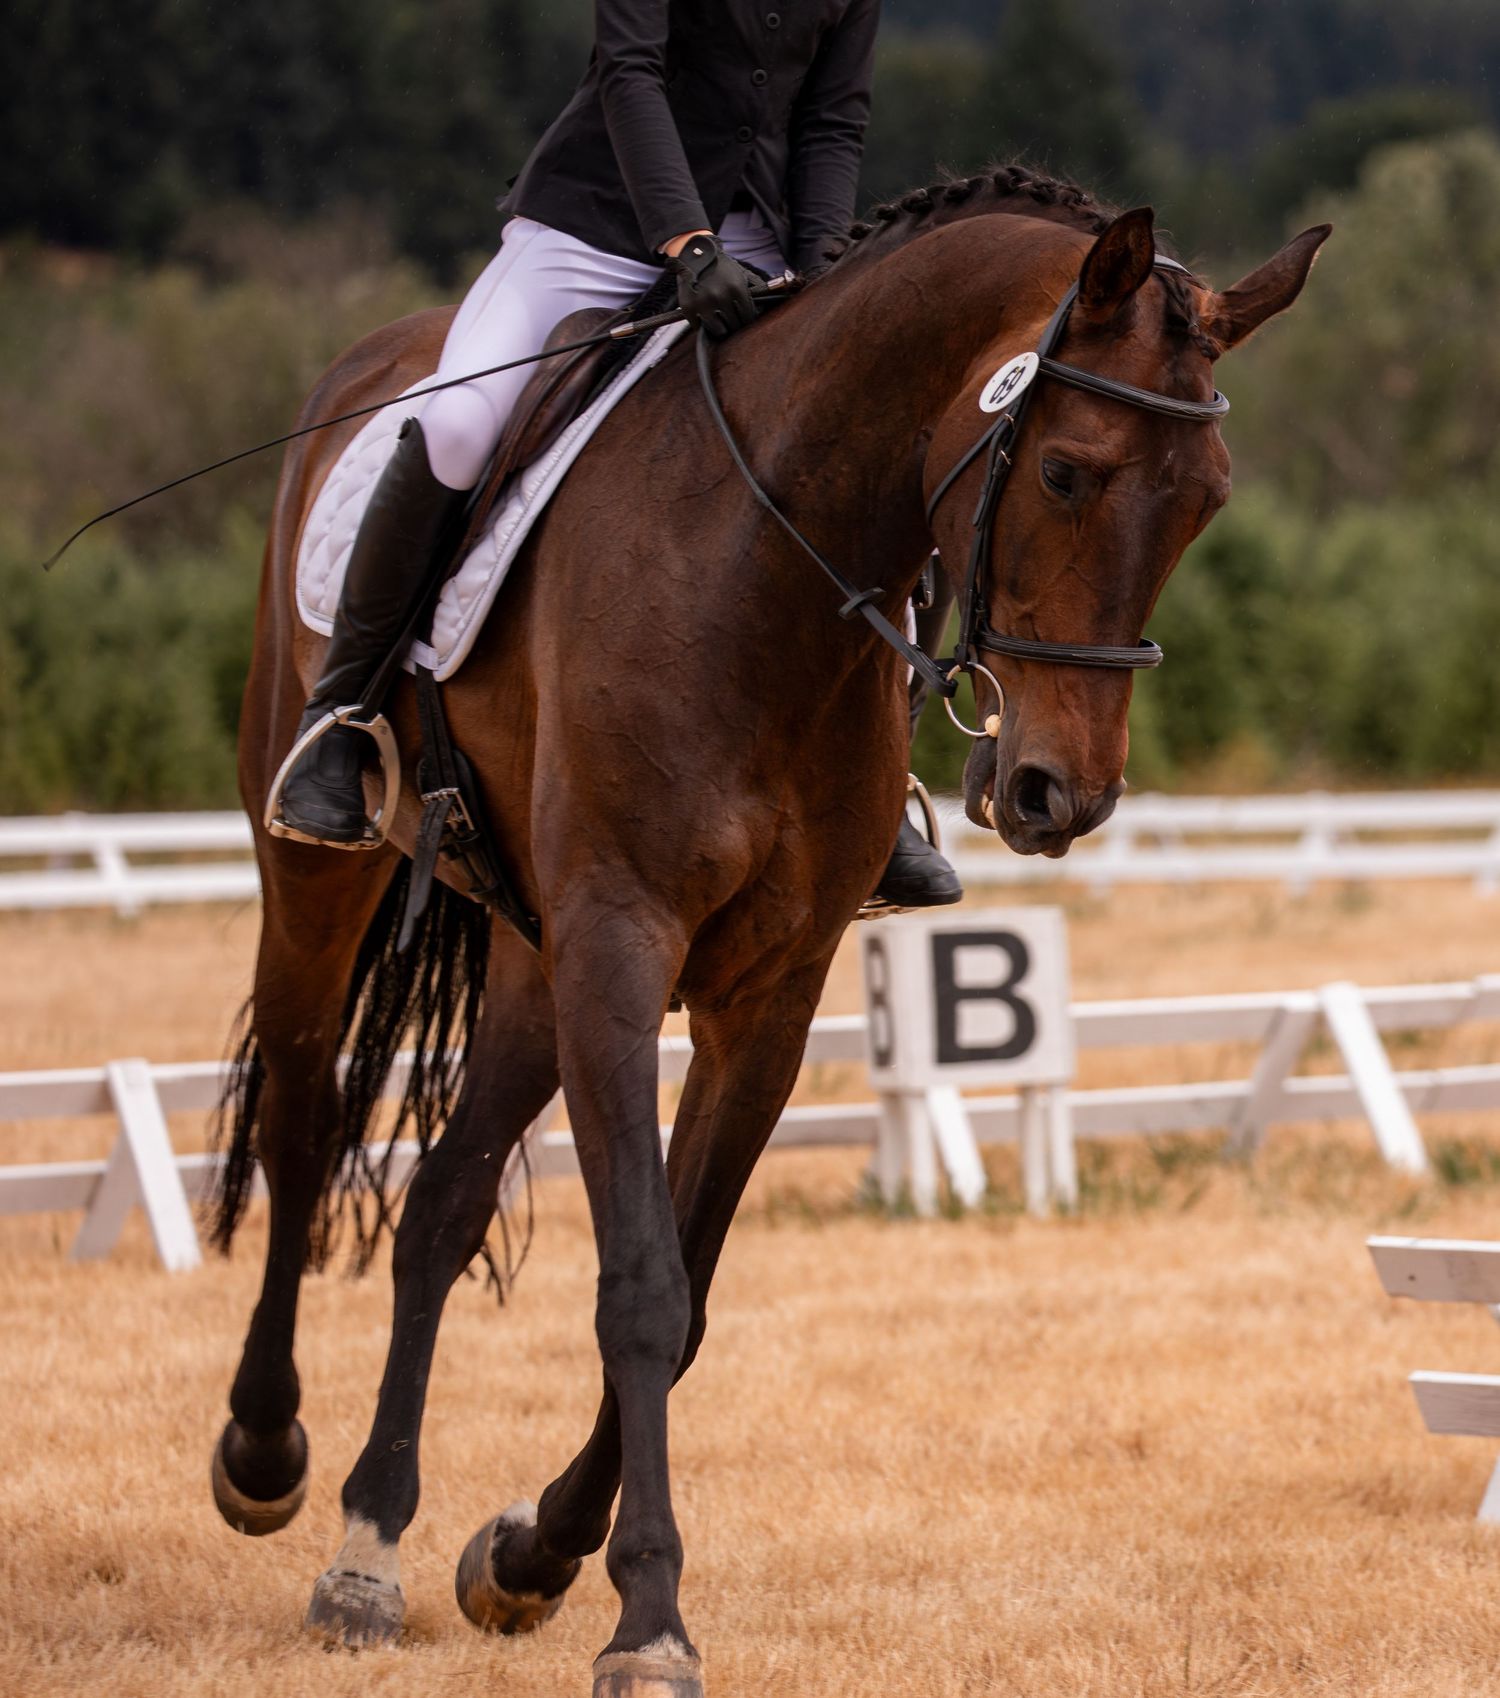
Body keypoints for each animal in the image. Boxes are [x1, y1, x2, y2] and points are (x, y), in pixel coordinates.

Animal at [209, 165, 1328, 1696]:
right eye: (1063, 472)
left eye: (1205, 504)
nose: (1060, 794)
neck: (765, 566)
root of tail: (372, 360)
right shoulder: (624, 946)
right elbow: (637, 1279)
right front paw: (647, 1623)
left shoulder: (772, 987)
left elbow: (686, 1294)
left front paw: (532, 1556)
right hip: (325, 879)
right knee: (306, 1122)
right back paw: (266, 1455)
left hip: (534, 958)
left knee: (440, 1201)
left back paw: (369, 1543)